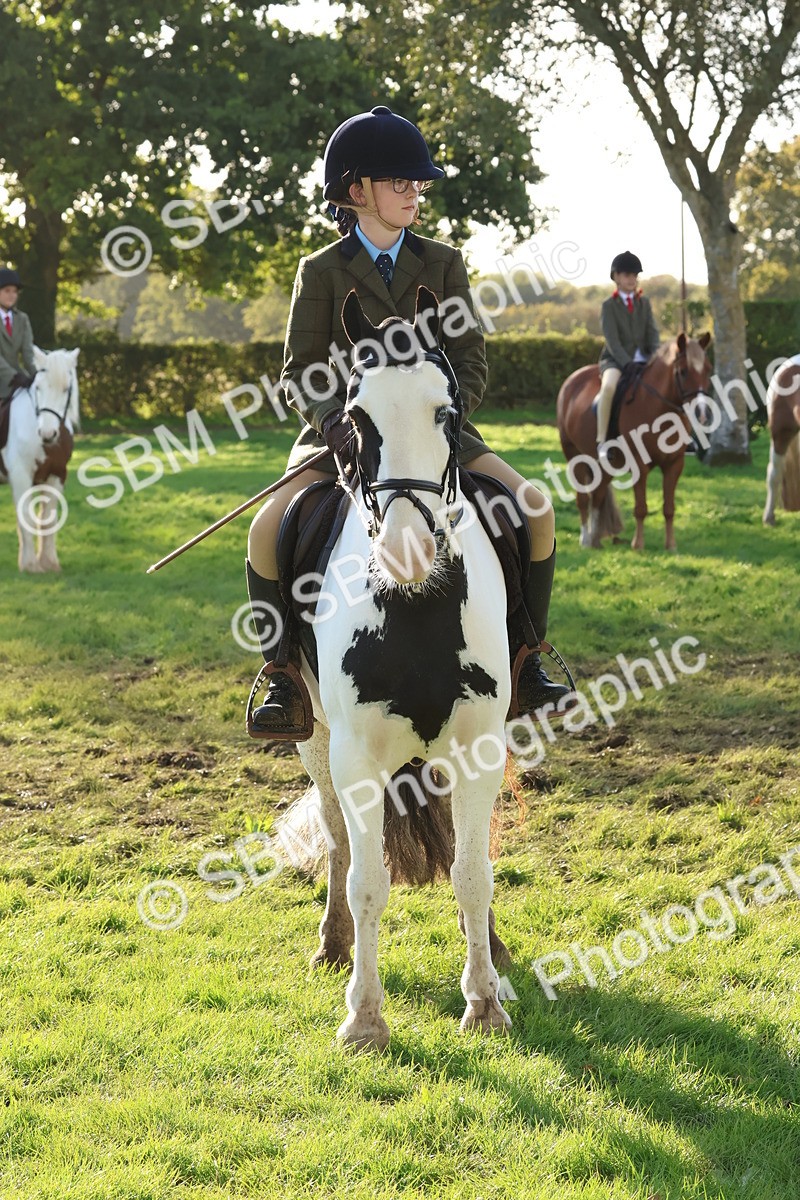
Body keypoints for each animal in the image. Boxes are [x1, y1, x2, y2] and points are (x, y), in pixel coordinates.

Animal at [0, 347, 80, 573]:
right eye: (38, 387)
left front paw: (49, 562)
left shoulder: (56, 475)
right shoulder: (20, 476)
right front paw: (30, 565)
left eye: (66, 389)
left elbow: (48, 519)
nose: (47, 433)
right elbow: (26, 516)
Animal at [284, 287, 513, 1051]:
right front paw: (363, 1017)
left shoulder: (479, 747)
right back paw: (333, 943)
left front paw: (485, 1002)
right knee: (335, 838)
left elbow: (473, 873)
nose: (409, 551)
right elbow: (368, 880)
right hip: (314, 739)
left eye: (448, 412)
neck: (417, 608)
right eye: (356, 417)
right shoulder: (356, 754)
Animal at [556, 333, 713, 551]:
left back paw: (596, 540)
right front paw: (638, 544)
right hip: (573, 454)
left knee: (597, 497)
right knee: (583, 499)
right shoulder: (640, 464)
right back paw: (586, 540)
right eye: (682, 372)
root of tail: (571, 380)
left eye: (708, 370)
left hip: (604, 465)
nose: (702, 414)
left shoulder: (674, 464)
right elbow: (641, 508)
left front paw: (671, 545)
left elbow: (669, 508)